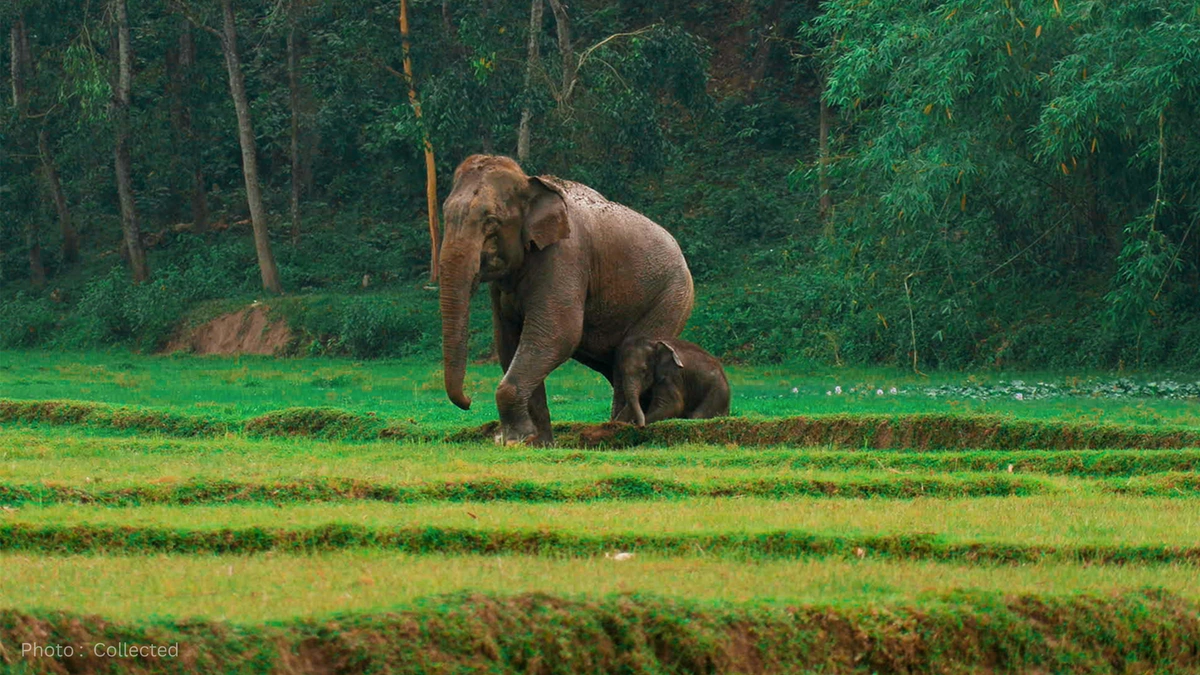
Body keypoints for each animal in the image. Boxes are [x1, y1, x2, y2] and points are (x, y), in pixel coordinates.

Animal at [438, 155, 694, 445]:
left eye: (491, 221)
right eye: (445, 215)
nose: (469, 401)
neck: (530, 182)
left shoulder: (565, 256)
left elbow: (557, 333)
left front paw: (514, 440)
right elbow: (509, 340)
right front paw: (538, 443)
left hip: (671, 298)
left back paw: (618, 431)